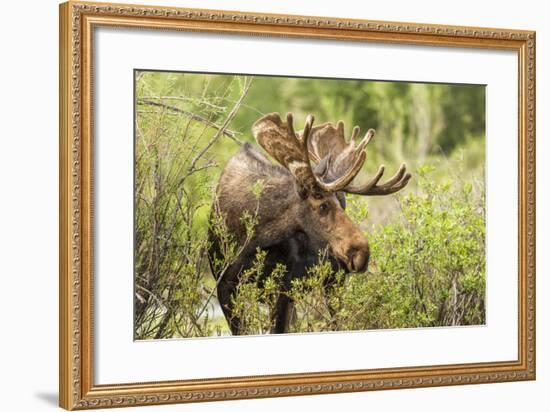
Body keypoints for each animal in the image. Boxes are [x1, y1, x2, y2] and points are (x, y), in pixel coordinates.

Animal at [209, 112, 412, 334]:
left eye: (342, 203)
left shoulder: (283, 289)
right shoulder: (224, 286)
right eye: (322, 205)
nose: (361, 253)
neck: (254, 238)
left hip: (333, 282)